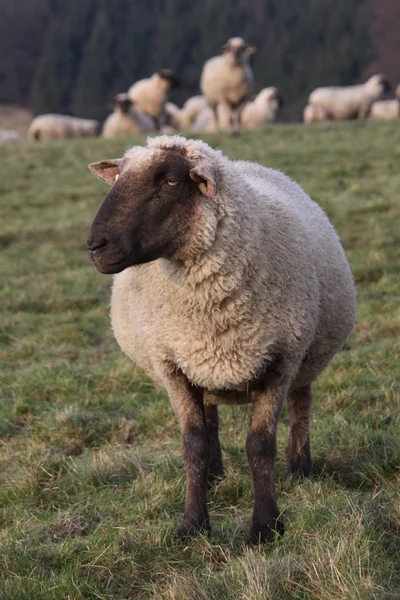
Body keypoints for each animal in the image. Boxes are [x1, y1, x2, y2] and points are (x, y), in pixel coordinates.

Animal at [87, 135, 356, 544]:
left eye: (169, 181)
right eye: (118, 177)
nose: (95, 246)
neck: (208, 307)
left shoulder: (281, 360)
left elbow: (260, 446)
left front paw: (266, 526)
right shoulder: (172, 364)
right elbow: (193, 444)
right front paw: (192, 524)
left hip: (305, 355)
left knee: (301, 405)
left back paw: (300, 470)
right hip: (200, 362)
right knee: (210, 415)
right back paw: (214, 475)